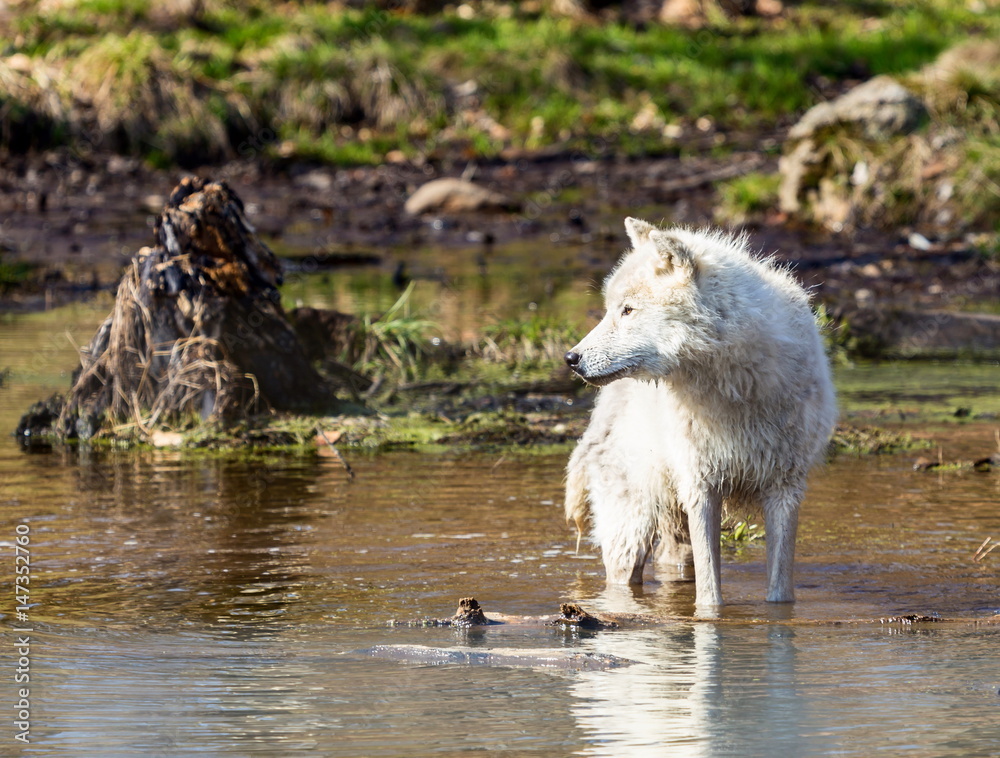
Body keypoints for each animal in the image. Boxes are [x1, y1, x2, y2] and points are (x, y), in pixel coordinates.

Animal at [564, 219, 836, 608]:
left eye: (627, 310)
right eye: (610, 308)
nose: (571, 359)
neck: (736, 388)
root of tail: (600, 415)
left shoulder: (785, 489)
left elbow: (781, 588)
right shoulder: (701, 486)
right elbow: (709, 592)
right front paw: (710, 618)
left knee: (672, 558)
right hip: (632, 526)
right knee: (624, 578)